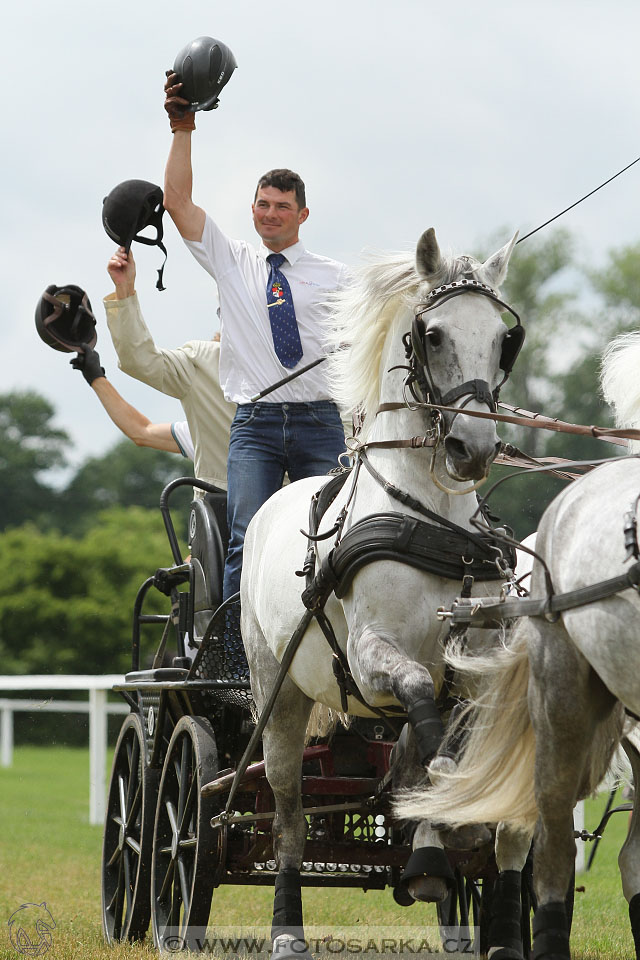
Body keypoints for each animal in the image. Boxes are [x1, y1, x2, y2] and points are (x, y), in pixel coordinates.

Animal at [240, 229, 524, 960]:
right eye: (432, 333)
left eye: (502, 338)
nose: (473, 446)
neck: (432, 521)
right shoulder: (374, 655)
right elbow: (423, 701)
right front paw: (443, 832)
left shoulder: (479, 662)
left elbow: (450, 740)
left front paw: (443, 842)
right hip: (276, 694)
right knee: (288, 817)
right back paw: (287, 930)